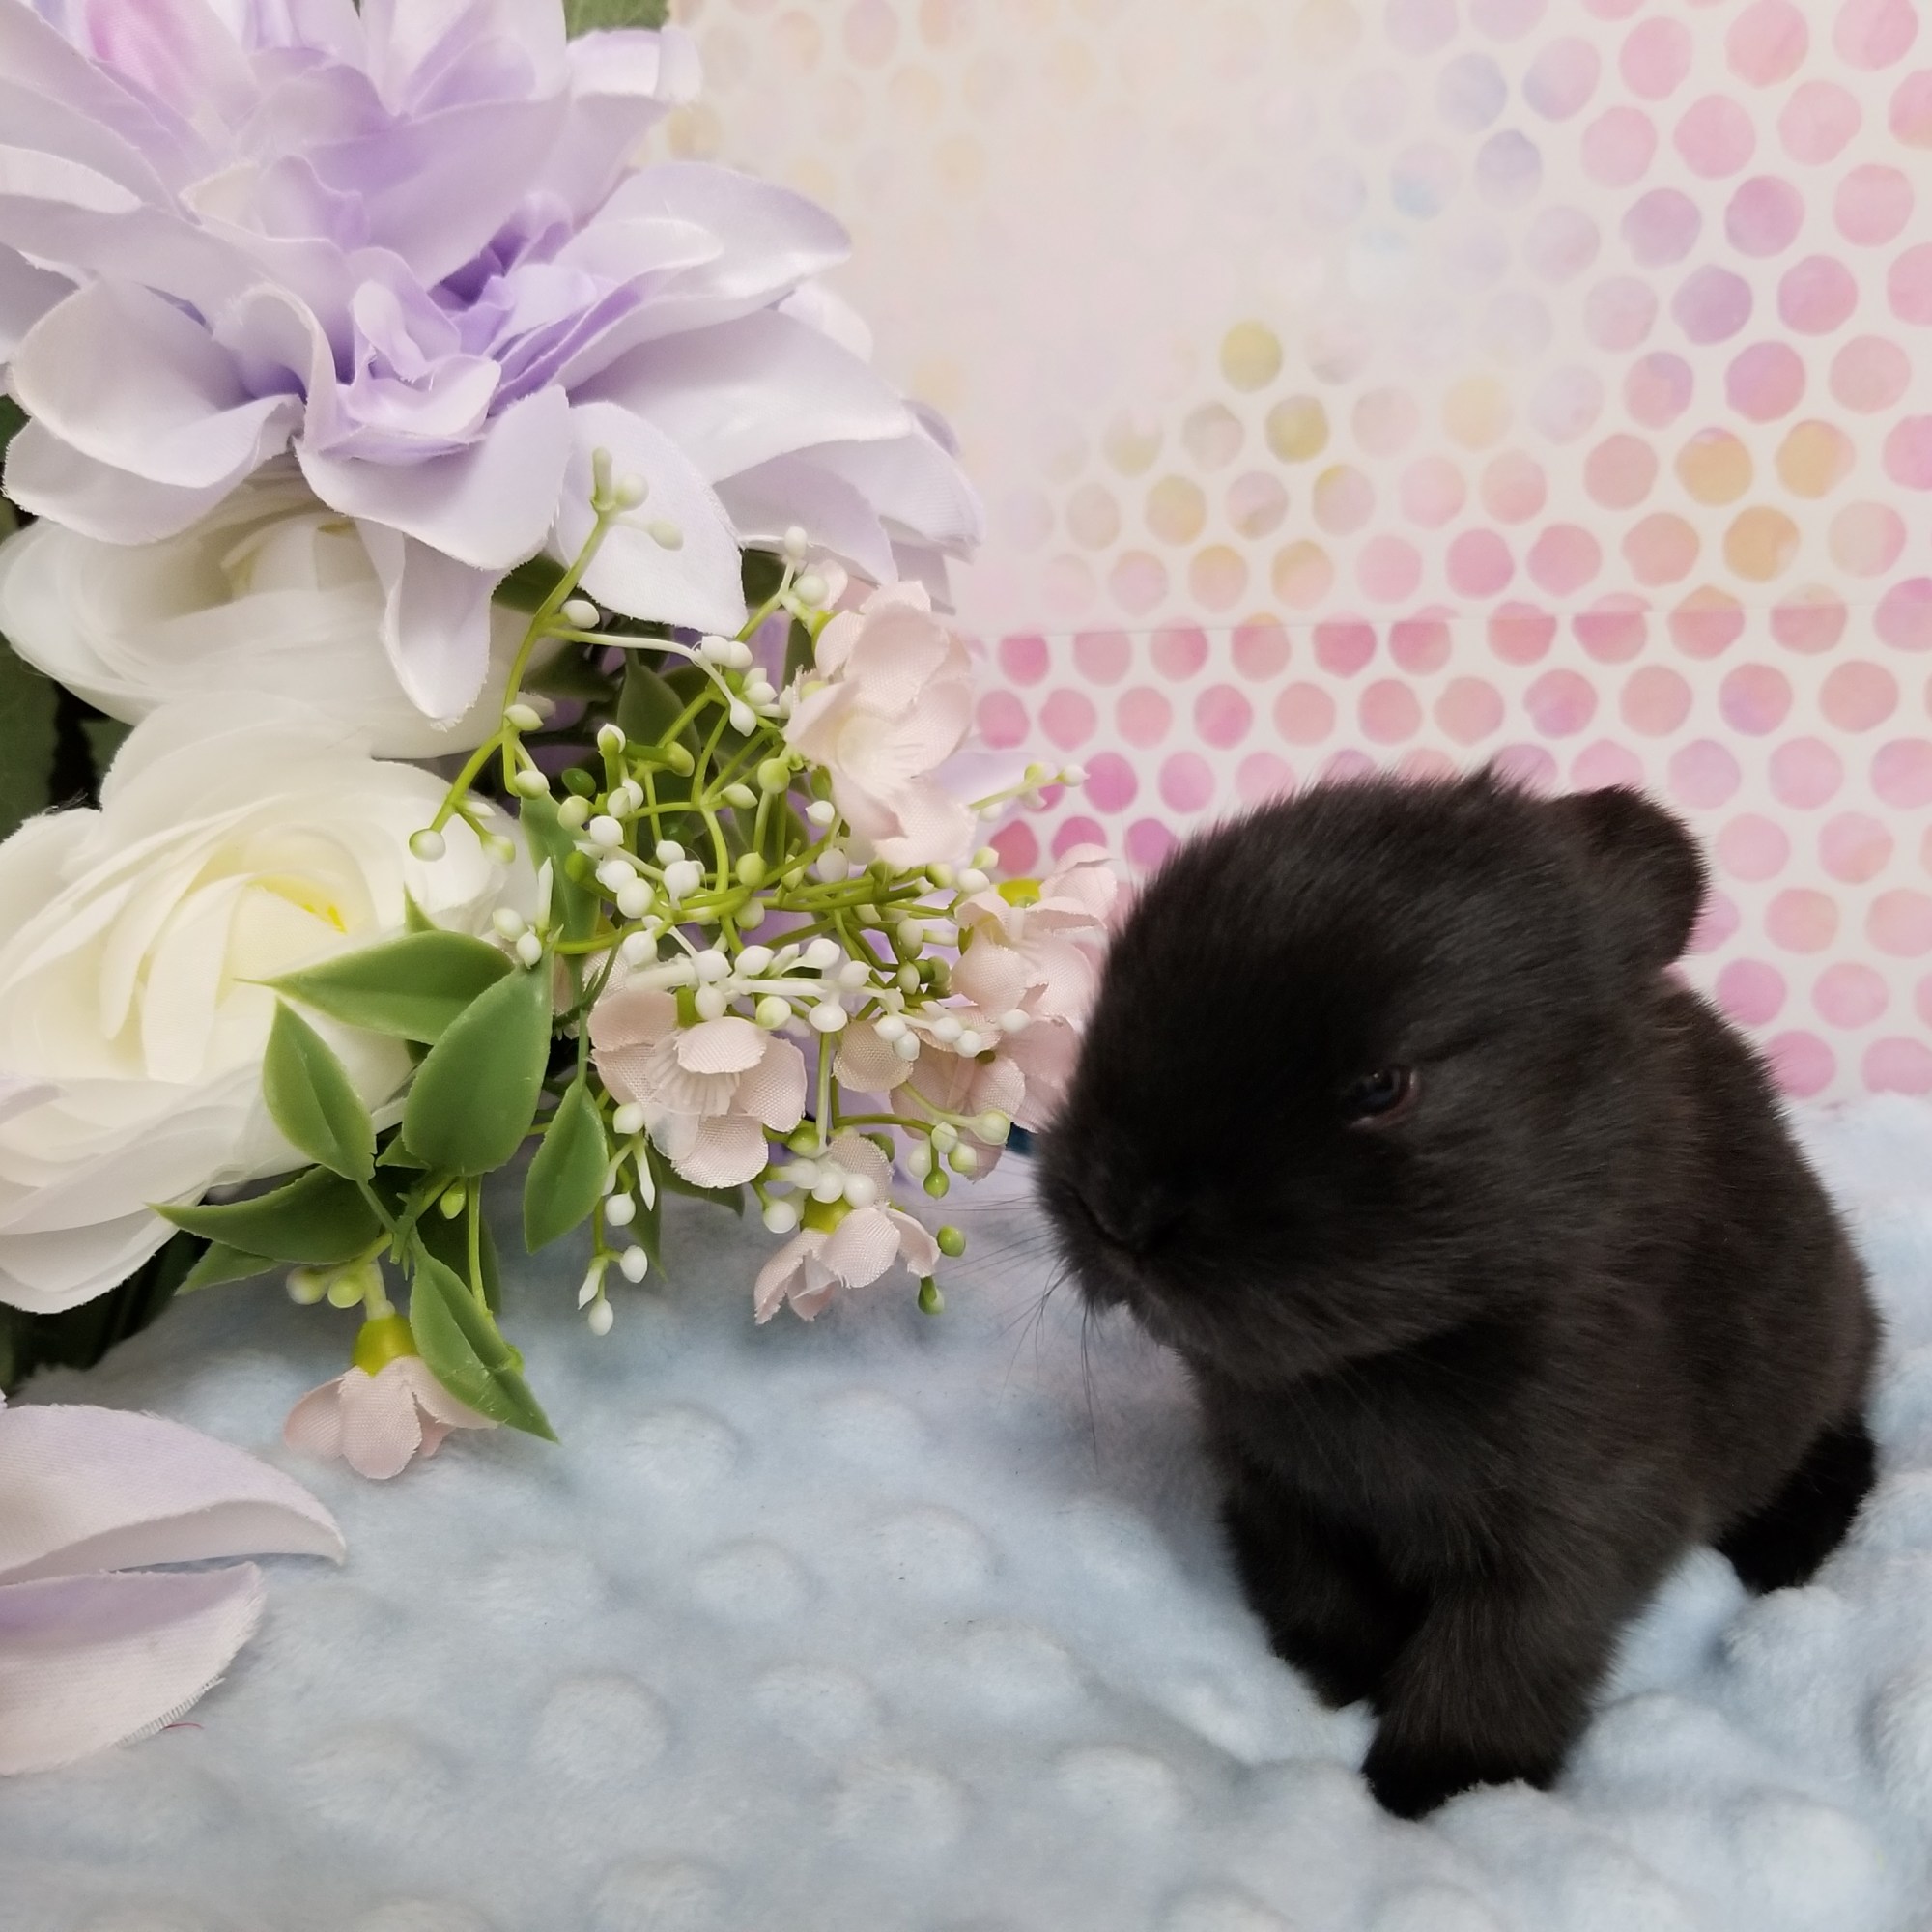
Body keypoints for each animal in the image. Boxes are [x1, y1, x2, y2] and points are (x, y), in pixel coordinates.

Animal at [1036, 769, 1879, 1818]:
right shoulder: (1271, 1481)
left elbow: (1503, 1651)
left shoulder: (1577, 1523)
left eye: (1380, 1087)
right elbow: (1311, 1577)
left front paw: (1442, 1782)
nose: (1120, 1208)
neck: (1388, 1356)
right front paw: (1346, 1671)